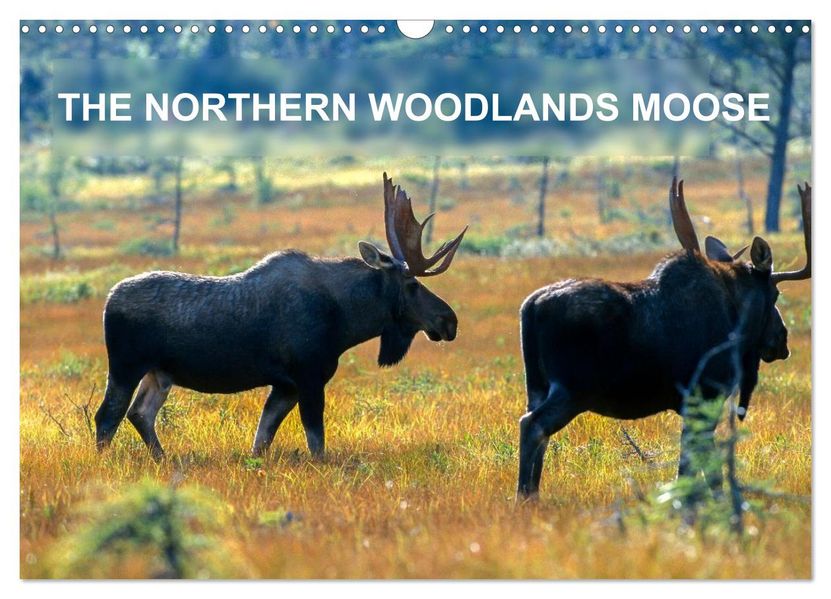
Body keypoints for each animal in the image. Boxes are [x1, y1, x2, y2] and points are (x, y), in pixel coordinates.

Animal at [95, 173, 468, 461]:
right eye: (411, 284)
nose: (449, 321)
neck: (346, 320)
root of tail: (108, 300)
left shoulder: (285, 385)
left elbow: (261, 441)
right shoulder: (308, 376)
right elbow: (316, 444)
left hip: (160, 373)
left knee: (140, 414)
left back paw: (162, 458)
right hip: (126, 366)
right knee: (107, 417)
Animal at [517, 178, 811, 499]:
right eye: (776, 293)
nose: (782, 340)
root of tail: (530, 306)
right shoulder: (706, 393)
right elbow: (702, 465)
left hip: (538, 386)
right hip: (572, 388)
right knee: (533, 426)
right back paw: (524, 497)